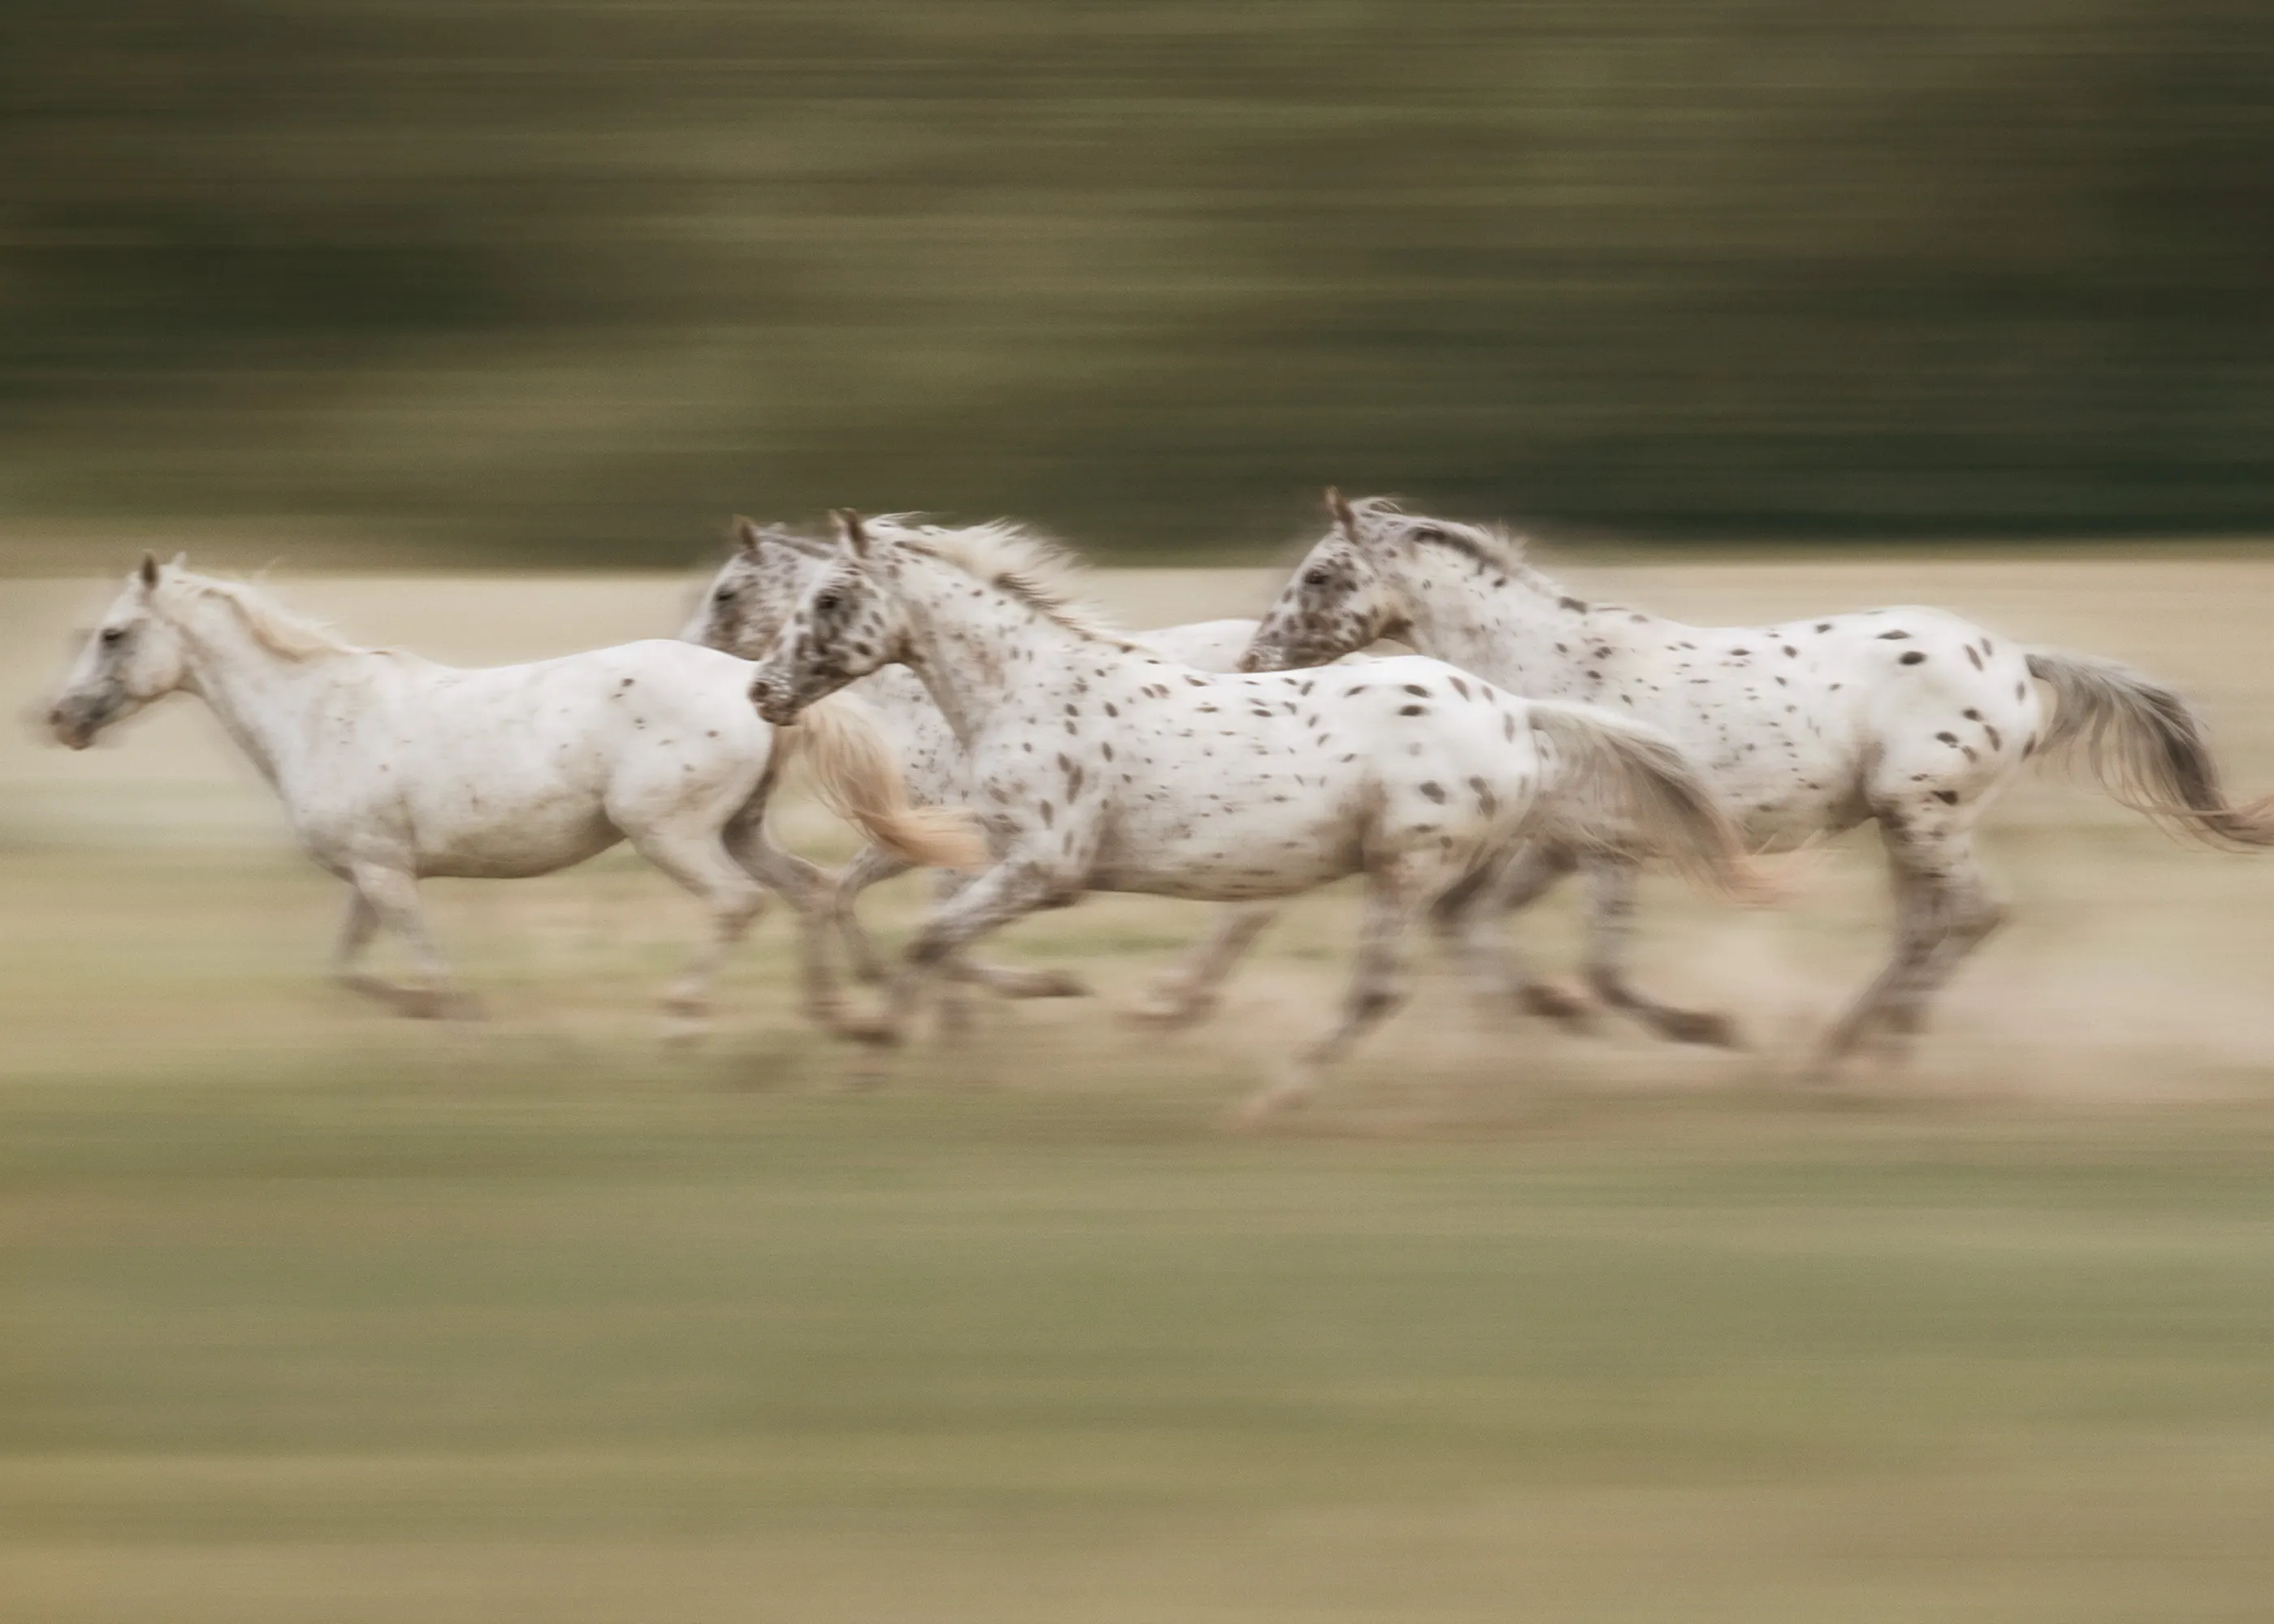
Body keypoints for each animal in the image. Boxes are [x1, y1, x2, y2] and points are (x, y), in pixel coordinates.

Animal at [47, 556, 983, 1030]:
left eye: (113, 634)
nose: (61, 717)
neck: (318, 713)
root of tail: (756, 685)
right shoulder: (370, 874)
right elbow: (351, 969)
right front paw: (448, 1011)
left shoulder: (385, 877)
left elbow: (420, 971)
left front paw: (459, 1016)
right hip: (741, 829)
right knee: (813, 892)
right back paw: (829, 1009)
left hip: (670, 833)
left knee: (737, 904)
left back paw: (686, 1012)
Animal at [684, 517, 1275, 1019]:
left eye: (726, 593)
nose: (758, 690)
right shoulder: (930, 840)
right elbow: (849, 896)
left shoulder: (948, 841)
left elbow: (917, 921)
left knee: (1247, 911)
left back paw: (1171, 1004)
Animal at [745, 511, 1764, 1117]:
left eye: (829, 597)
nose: (761, 690)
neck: (1026, 691)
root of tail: (1514, 709)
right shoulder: (988, 848)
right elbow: (928, 933)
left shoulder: (1047, 868)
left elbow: (932, 938)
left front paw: (870, 1051)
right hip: (1435, 869)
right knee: (1468, 954)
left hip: (1408, 864)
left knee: (1379, 988)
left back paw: (1275, 1097)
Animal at [1241, 491, 2274, 1075]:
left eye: (1322, 574)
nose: (1257, 657)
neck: (1544, 669)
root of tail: (2017, 659)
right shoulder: (1557, 843)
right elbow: (1472, 924)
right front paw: (1535, 1024)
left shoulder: (1607, 845)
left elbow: (1602, 965)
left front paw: (1705, 1029)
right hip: (1907, 823)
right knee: (1932, 922)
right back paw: (1856, 1044)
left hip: (1922, 811)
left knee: (1969, 914)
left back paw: (1862, 1052)